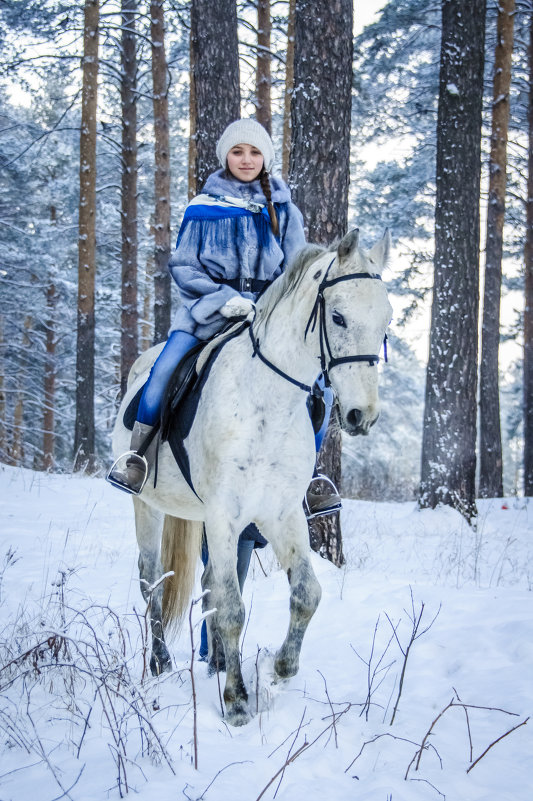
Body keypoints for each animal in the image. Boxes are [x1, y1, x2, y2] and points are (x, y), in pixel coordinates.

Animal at [111, 228, 390, 728]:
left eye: (385, 322)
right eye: (338, 316)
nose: (363, 415)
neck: (267, 401)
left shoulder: (282, 515)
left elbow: (305, 592)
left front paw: (280, 667)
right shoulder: (224, 515)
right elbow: (232, 608)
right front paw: (237, 701)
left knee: (208, 583)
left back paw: (218, 661)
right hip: (146, 504)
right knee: (152, 578)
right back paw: (161, 660)